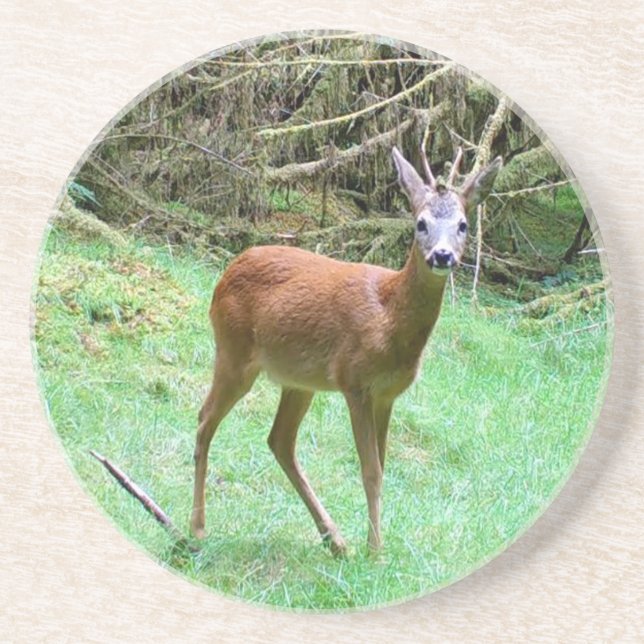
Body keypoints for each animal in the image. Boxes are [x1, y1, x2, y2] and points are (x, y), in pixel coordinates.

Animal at [190, 144, 502, 556]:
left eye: (463, 225)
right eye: (420, 223)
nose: (442, 255)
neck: (389, 319)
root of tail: (227, 271)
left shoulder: (387, 395)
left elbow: (382, 466)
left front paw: (371, 546)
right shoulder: (355, 382)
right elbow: (370, 471)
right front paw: (376, 552)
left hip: (298, 380)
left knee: (279, 440)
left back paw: (334, 539)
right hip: (233, 352)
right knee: (205, 419)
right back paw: (197, 529)